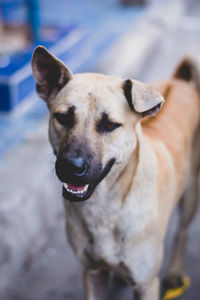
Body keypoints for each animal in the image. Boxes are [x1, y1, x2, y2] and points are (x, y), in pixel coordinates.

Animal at [31, 45, 200, 298]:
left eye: (110, 125)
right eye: (63, 117)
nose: (71, 167)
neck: (104, 209)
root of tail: (178, 81)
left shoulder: (146, 284)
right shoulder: (92, 273)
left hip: (190, 193)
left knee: (182, 232)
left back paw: (175, 271)